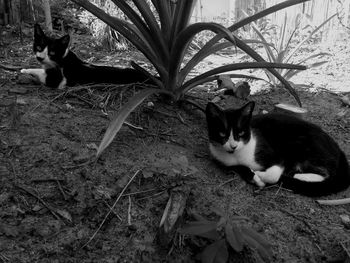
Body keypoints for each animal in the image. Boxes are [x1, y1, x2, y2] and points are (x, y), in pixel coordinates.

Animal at [19, 24, 156, 89]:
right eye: (39, 48)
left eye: (52, 53)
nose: (40, 58)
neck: (63, 59)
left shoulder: (59, 80)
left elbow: (41, 72)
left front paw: (25, 70)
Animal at [205, 102, 350, 197]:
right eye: (222, 134)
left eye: (240, 133)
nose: (233, 146)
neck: (237, 155)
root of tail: (338, 148)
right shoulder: (223, 161)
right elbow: (238, 167)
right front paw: (254, 177)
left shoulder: (276, 155)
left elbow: (273, 175)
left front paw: (260, 175)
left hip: (299, 146)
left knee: (326, 173)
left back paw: (296, 175)